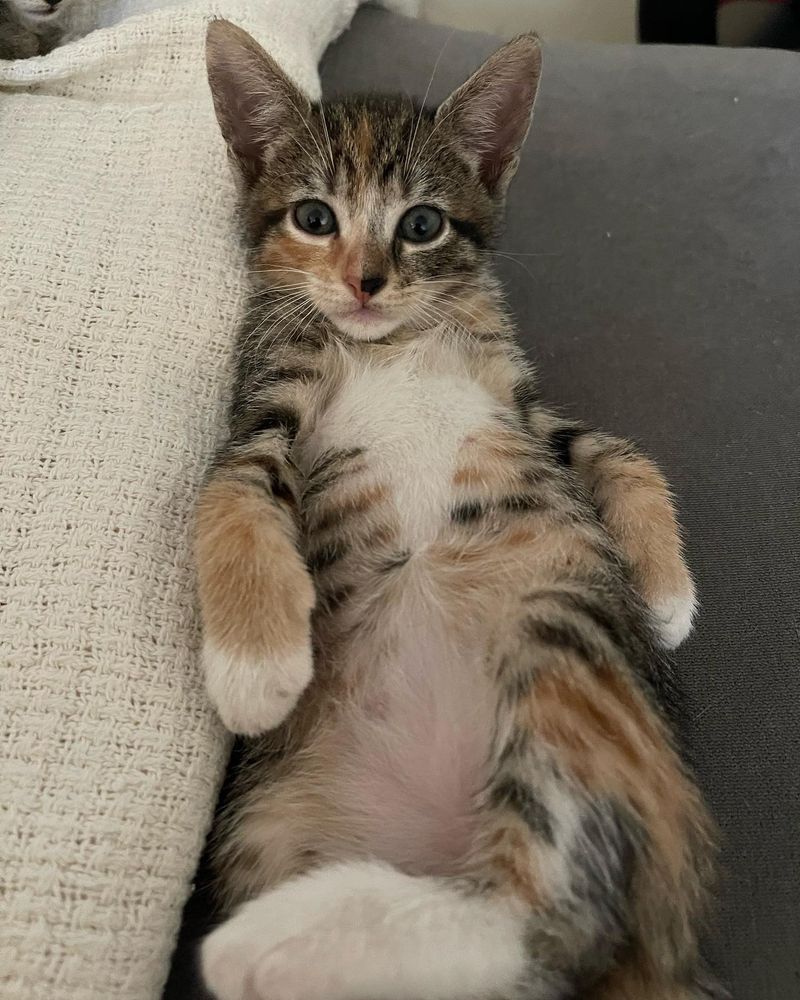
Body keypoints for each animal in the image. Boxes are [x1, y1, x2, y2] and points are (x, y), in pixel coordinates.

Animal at [195, 21, 724, 1000]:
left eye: (422, 224)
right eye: (314, 218)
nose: (365, 282)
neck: (390, 343)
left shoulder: (520, 405)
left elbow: (616, 451)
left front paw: (666, 599)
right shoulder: (264, 404)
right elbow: (227, 490)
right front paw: (255, 668)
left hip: (555, 615)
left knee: (547, 916)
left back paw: (277, 941)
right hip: (269, 825)